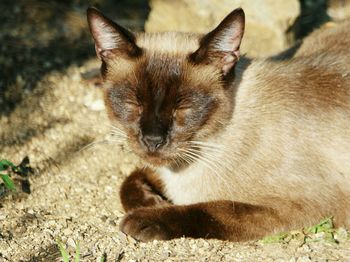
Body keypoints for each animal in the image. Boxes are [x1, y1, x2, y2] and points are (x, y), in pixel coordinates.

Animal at [86, 7, 350, 242]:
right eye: (132, 104)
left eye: (184, 108)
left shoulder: (307, 205)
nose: (153, 140)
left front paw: (146, 216)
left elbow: (213, 210)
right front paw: (153, 202)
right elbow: (130, 180)